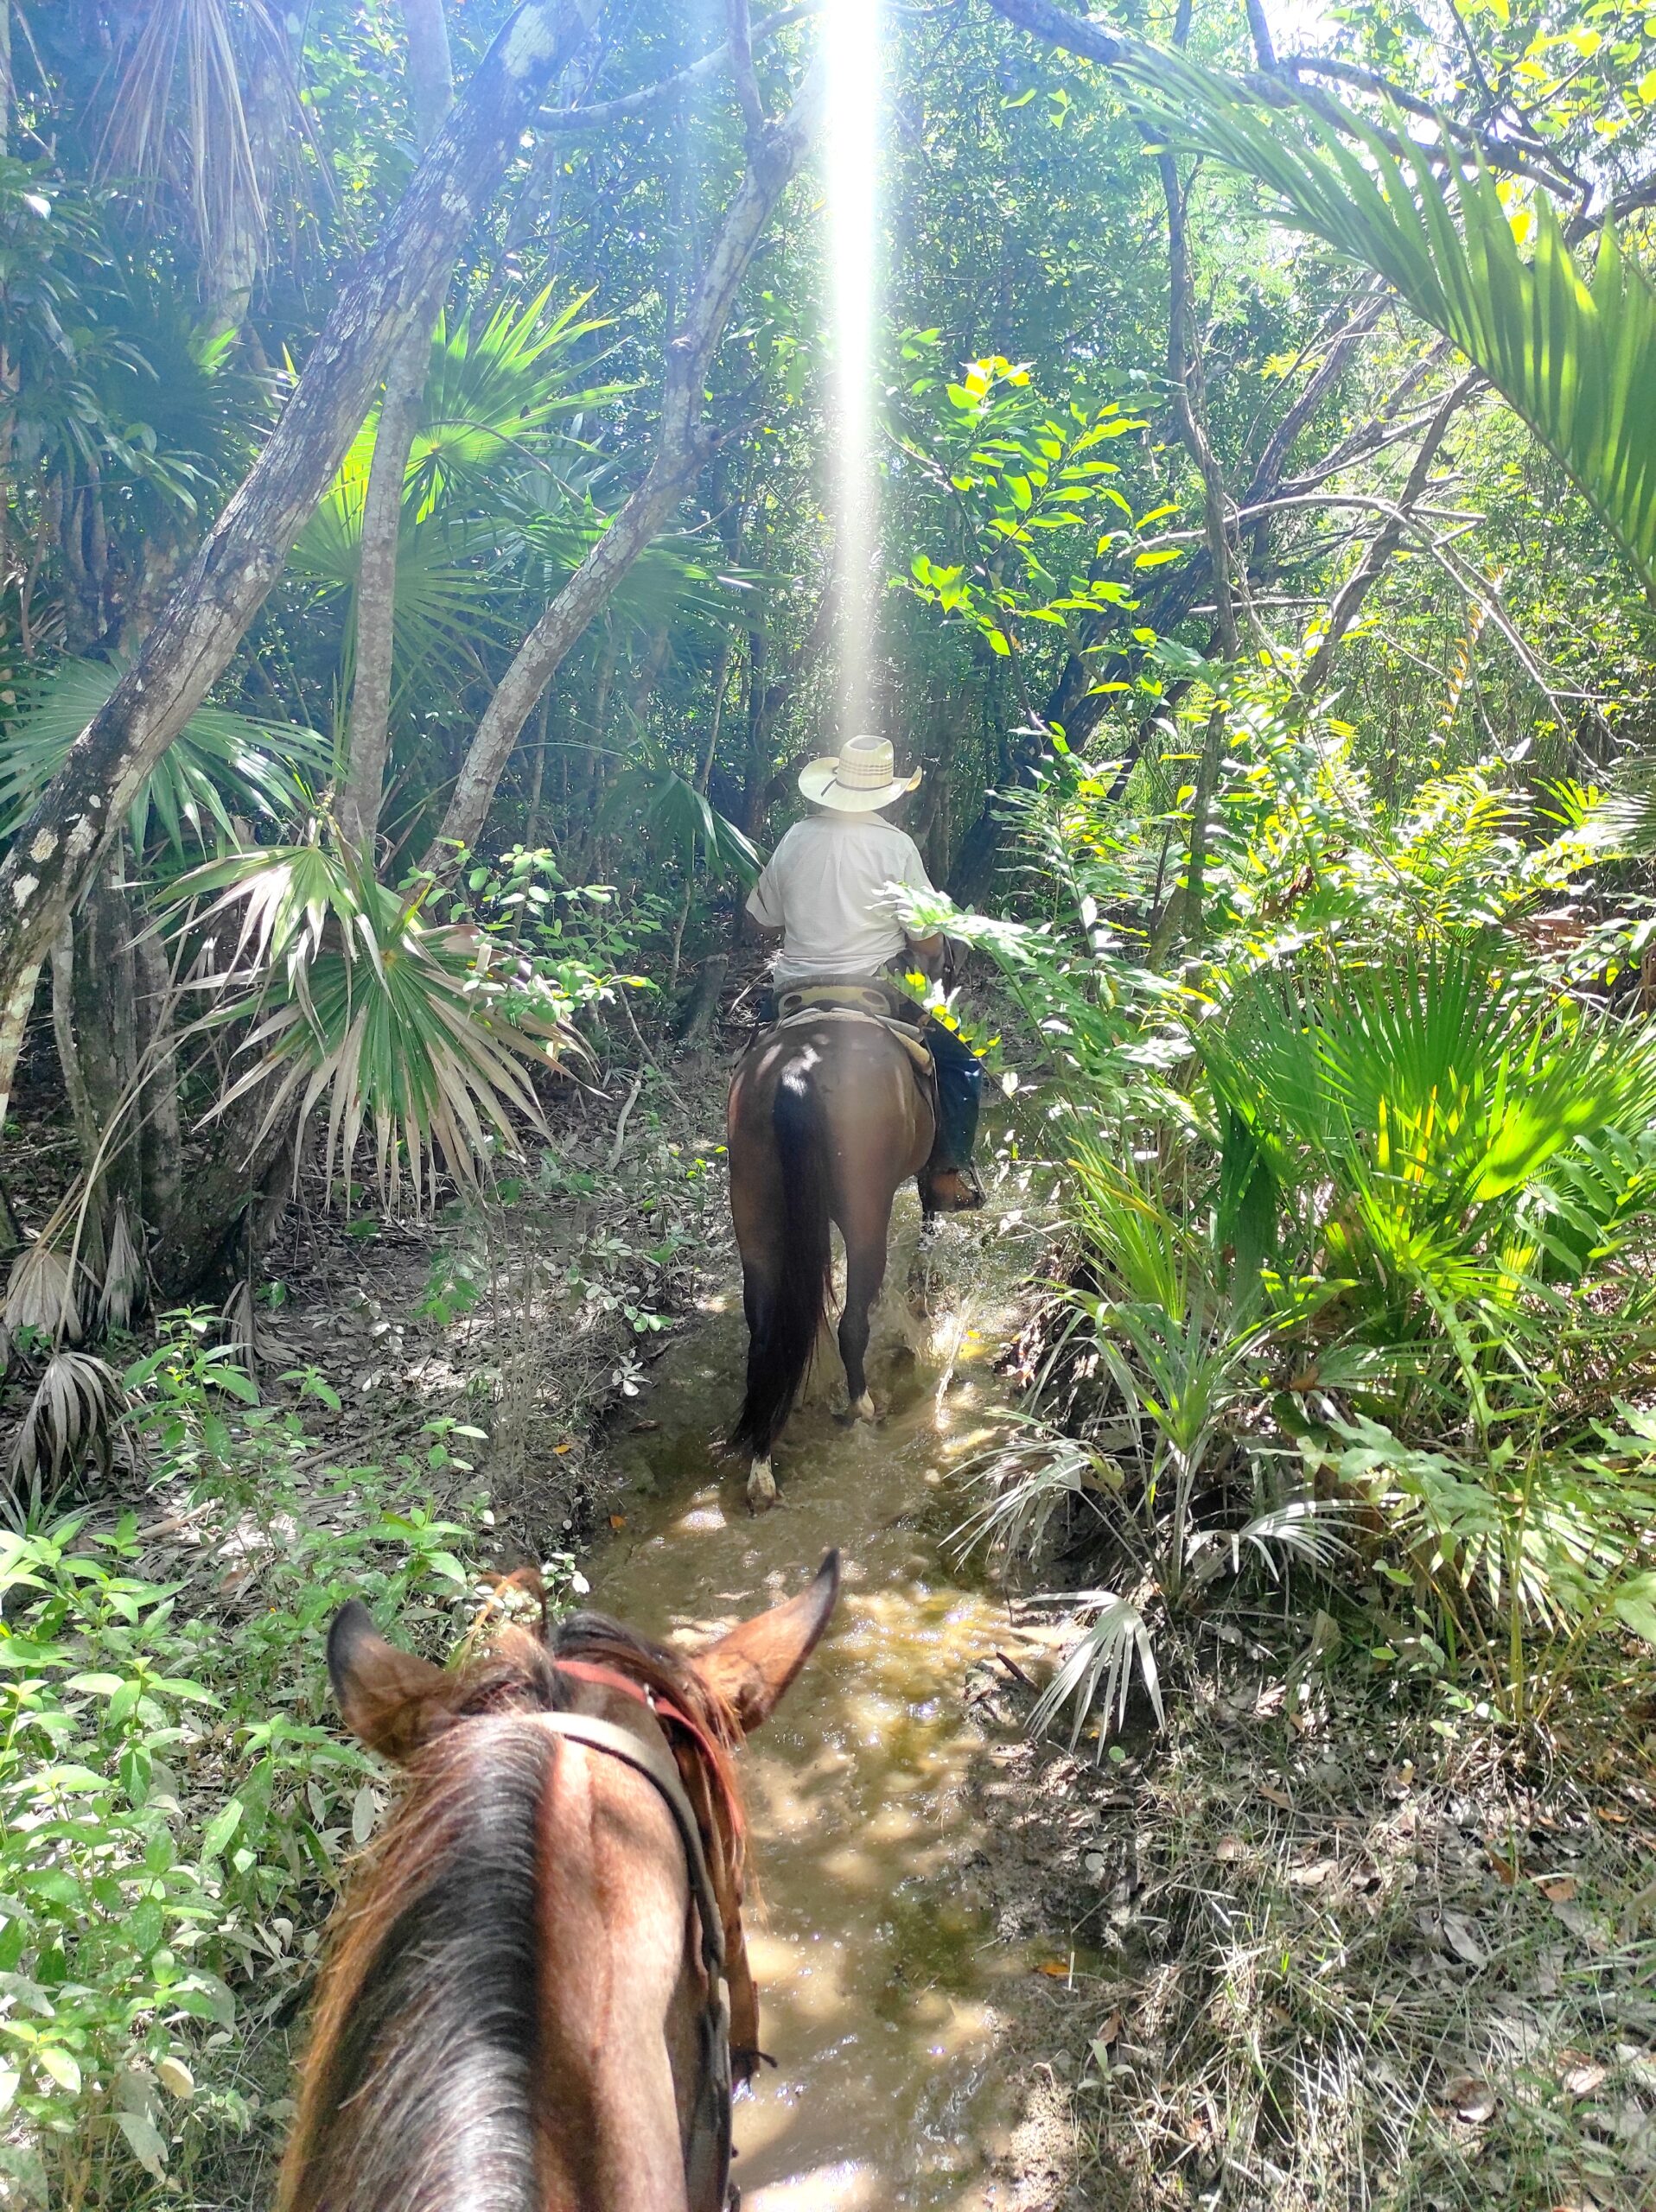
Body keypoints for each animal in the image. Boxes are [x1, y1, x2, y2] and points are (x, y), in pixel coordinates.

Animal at [730, 1013, 939, 1503]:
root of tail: (796, 1072)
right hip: (864, 1210)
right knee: (852, 1323)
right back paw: (862, 1404)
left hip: (756, 1220)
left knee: (763, 1339)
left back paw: (761, 1467)